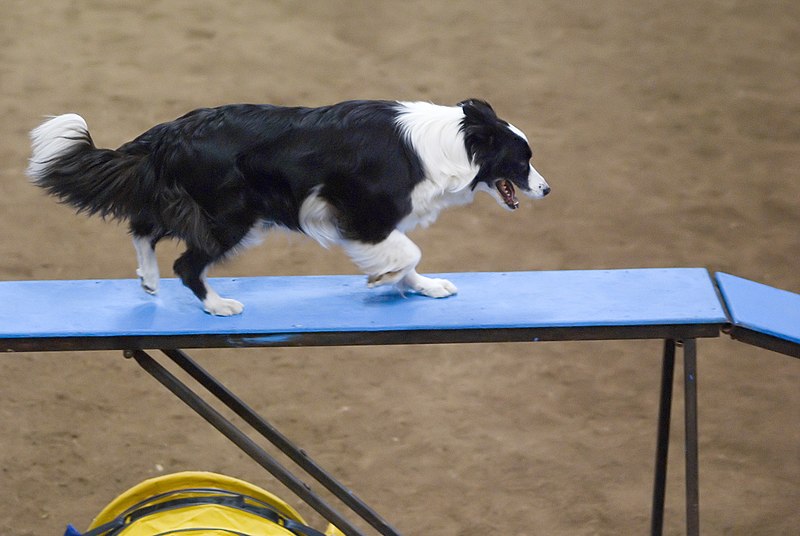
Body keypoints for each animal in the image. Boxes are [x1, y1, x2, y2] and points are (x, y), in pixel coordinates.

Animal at [25, 100, 552, 314]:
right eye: (523, 160)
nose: (547, 190)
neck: (452, 143)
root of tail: (169, 132)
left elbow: (409, 260)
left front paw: (425, 287)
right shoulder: (363, 214)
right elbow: (407, 252)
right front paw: (384, 278)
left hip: (201, 207)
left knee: (143, 226)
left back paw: (149, 280)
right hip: (233, 216)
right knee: (186, 262)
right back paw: (218, 305)